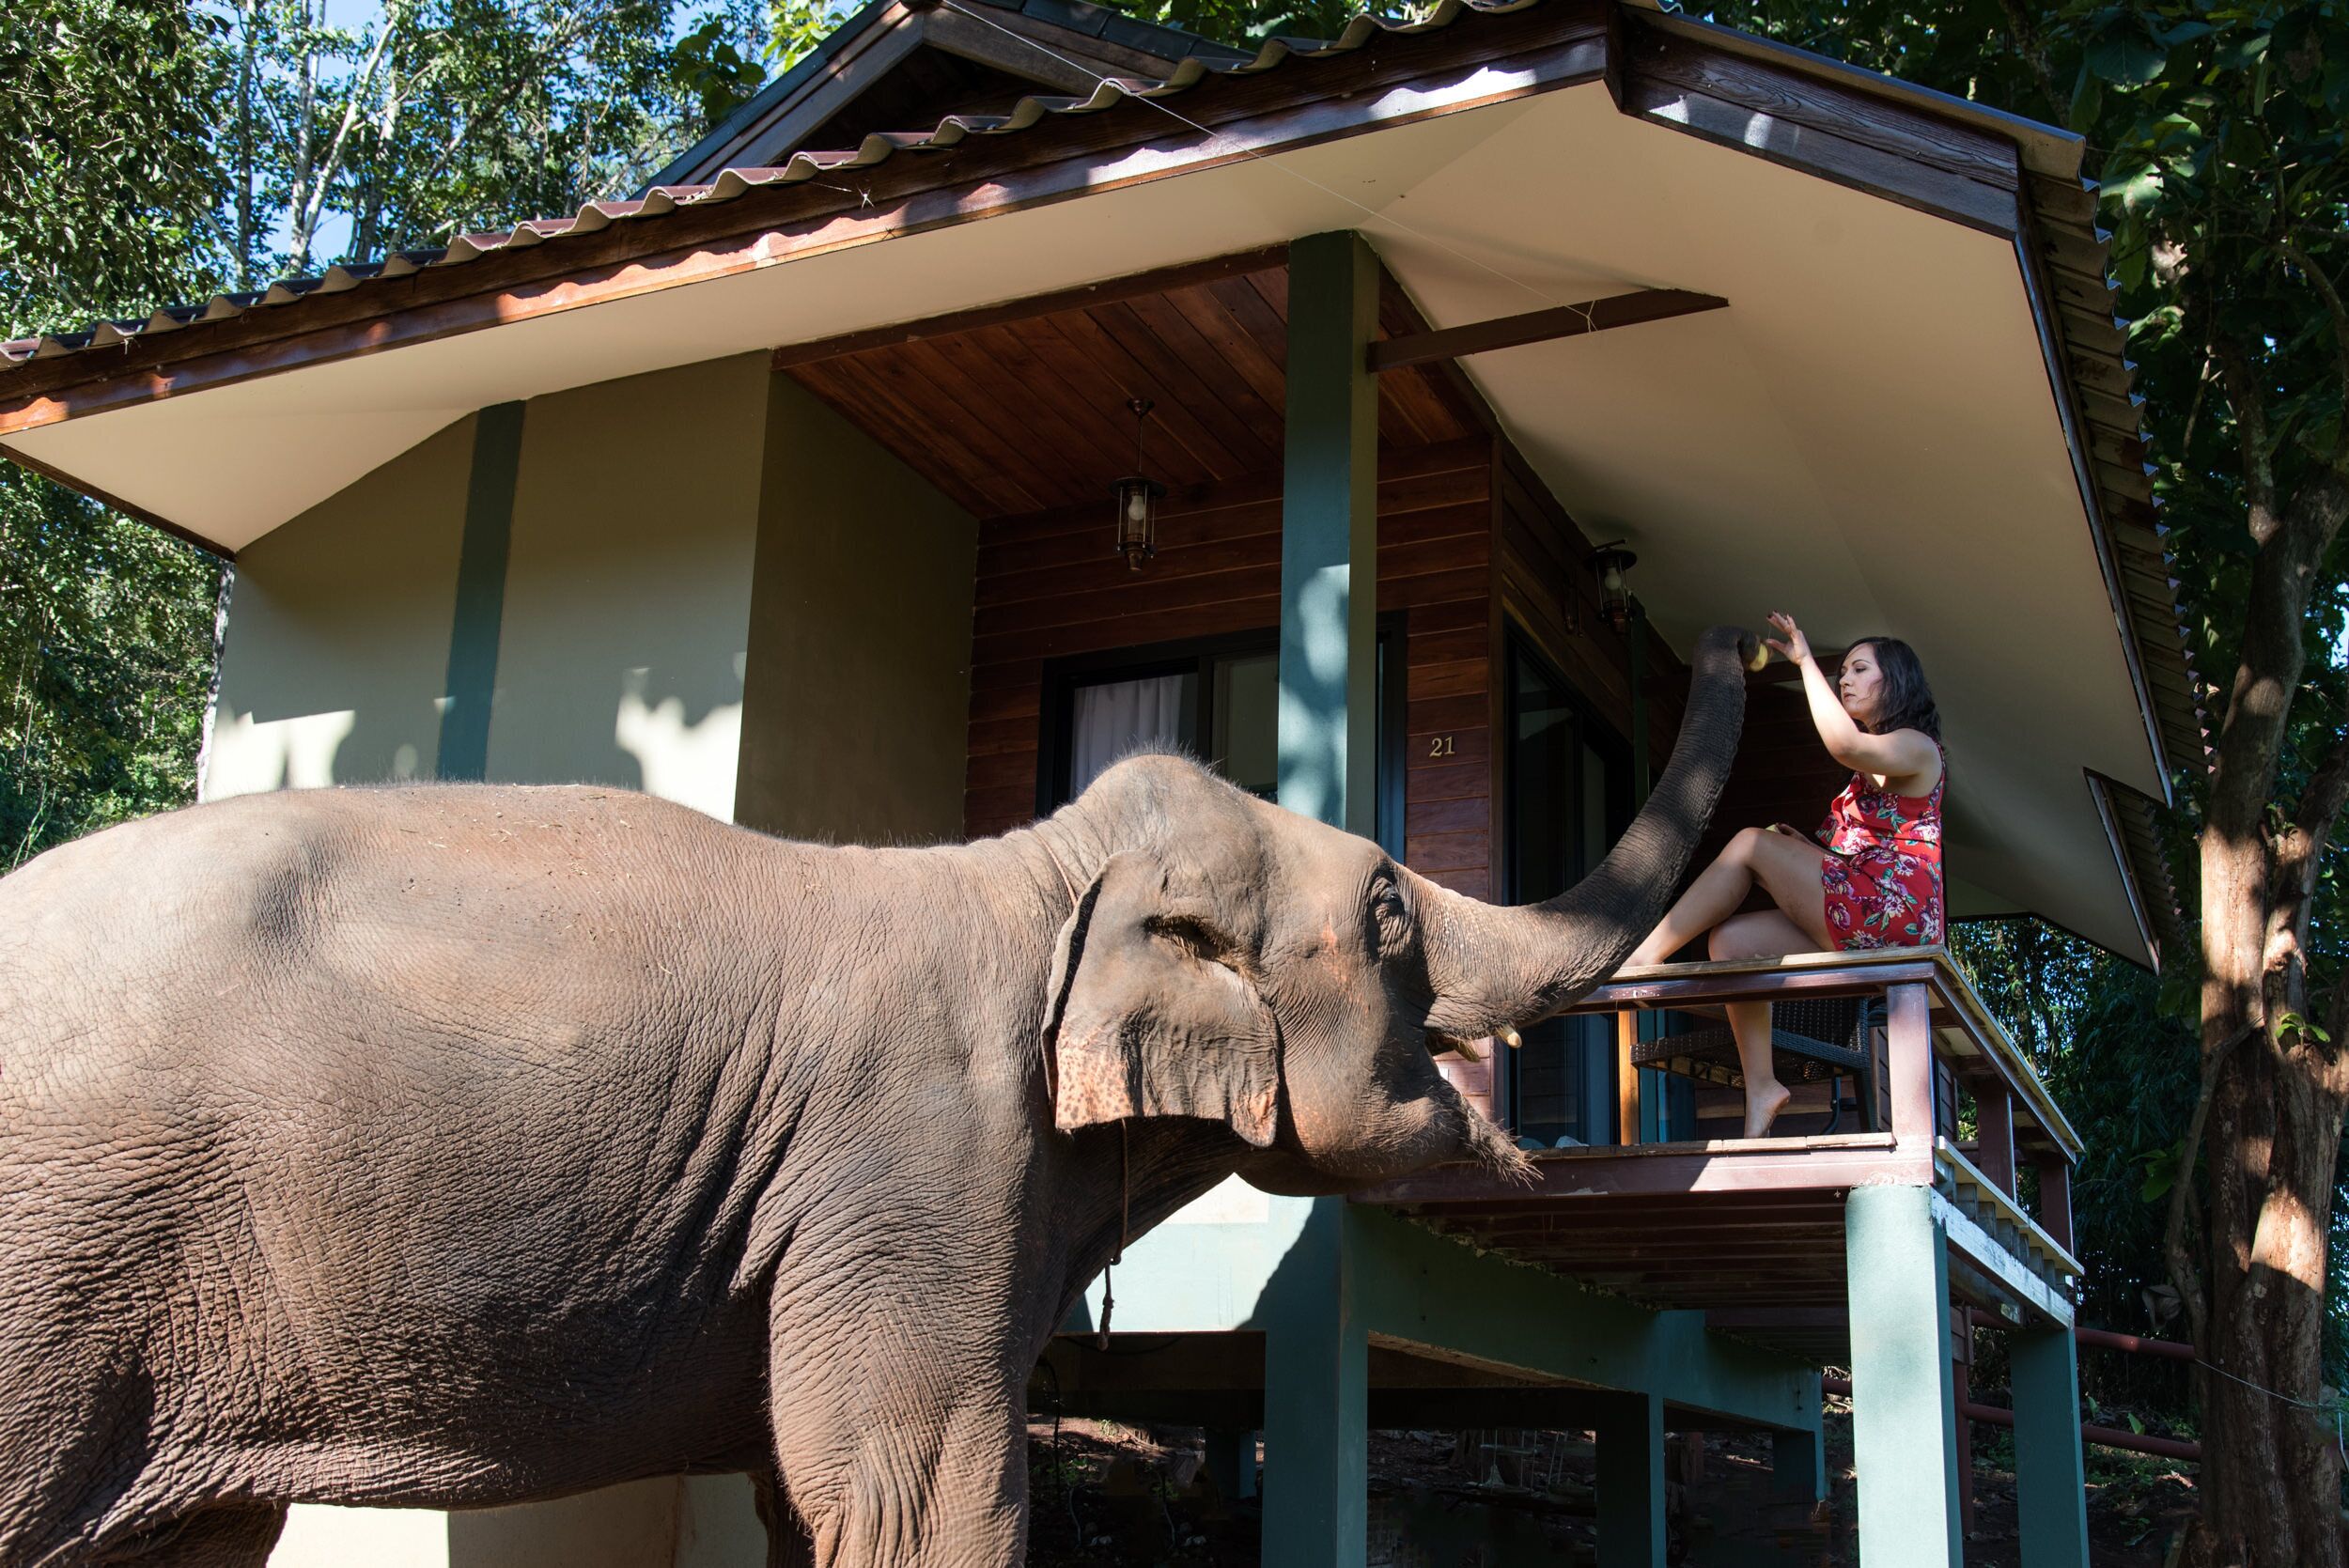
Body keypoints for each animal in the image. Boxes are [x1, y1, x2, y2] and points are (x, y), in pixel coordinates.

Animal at [0, 626, 1752, 1568]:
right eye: (1390, 911)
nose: (1765, 634)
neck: (1041, 874)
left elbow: (811, 1489)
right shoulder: (920, 1156)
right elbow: (920, 1491)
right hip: (60, 1264)